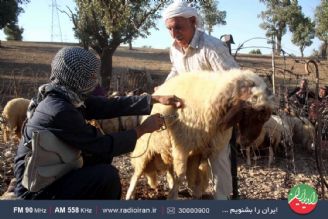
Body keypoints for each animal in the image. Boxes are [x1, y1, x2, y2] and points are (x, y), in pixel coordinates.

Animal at [127, 69, 272, 199]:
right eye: (251, 114)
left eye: (264, 119)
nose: (247, 142)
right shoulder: (182, 147)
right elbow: (180, 175)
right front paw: (172, 196)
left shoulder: (200, 151)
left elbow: (197, 179)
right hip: (146, 151)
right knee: (136, 175)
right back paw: (130, 195)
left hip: (168, 151)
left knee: (171, 172)